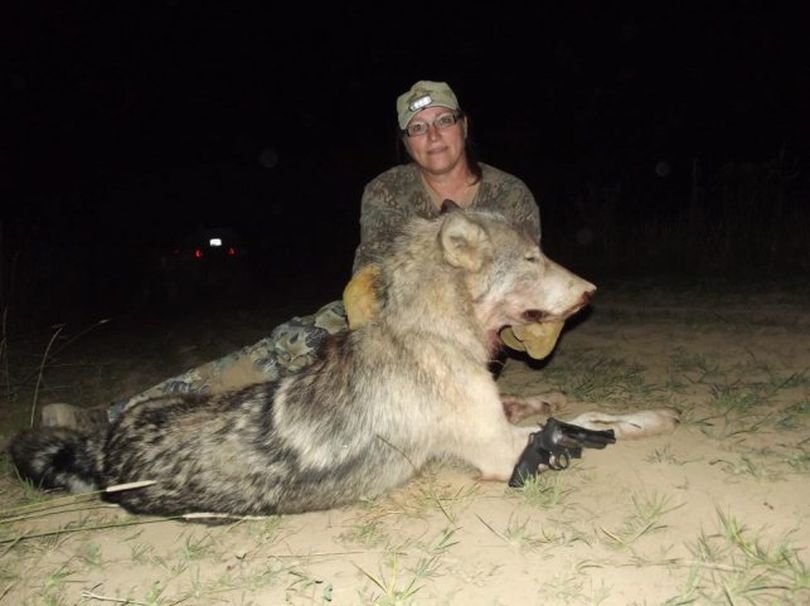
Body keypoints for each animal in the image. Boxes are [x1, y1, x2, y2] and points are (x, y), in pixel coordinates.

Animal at [9, 209, 680, 516]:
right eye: (534, 258)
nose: (593, 290)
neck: (433, 333)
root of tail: (102, 453)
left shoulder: (499, 419)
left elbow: (577, 410)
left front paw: (560, 399)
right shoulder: (499, 450)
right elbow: (598, 423)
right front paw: (654, 417)